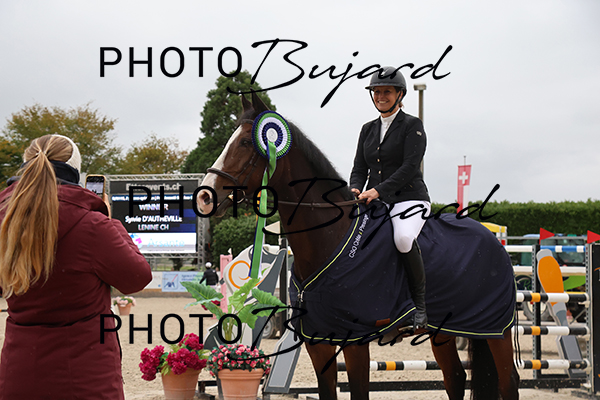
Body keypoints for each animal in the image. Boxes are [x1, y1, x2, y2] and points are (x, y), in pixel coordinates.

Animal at [196, 92, 520, 400]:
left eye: (244, 144)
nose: (204, 196)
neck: (329, 238)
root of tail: (494, 240)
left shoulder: (354, 341)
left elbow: (359, 392)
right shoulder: (317, 342)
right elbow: (328, 392)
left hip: (495, 330)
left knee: (509, 382)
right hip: (446, 330)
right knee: (455, 377)